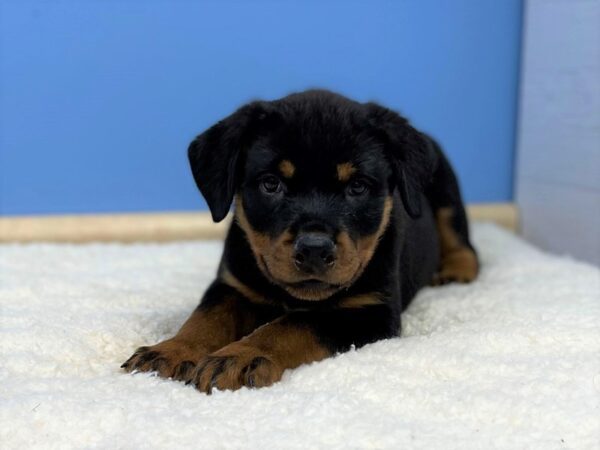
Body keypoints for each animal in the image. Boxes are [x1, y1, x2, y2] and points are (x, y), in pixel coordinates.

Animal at [122, 89, 478, 392]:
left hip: (445, 186)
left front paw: (240, 356)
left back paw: (455, 271)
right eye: (271, 184)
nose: (314, 250)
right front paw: (171, 350)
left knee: (461, 238)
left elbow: (293, 324)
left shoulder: (371, 311)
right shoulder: (232, 284)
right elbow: (207, 317)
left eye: (358, 187)